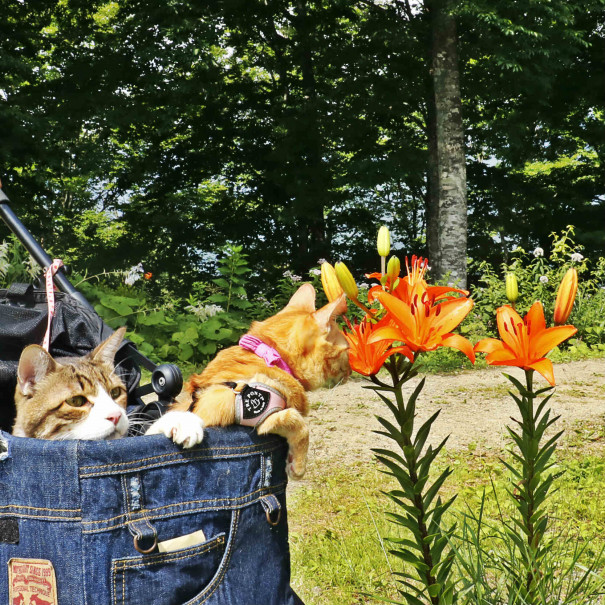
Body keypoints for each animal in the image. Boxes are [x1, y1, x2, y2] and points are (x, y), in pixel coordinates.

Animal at [147, 284, 352, 476]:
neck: (271, 356)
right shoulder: (260, 416)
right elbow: (300, 424)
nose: (351, 372)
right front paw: (298, 466)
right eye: (347, 350)